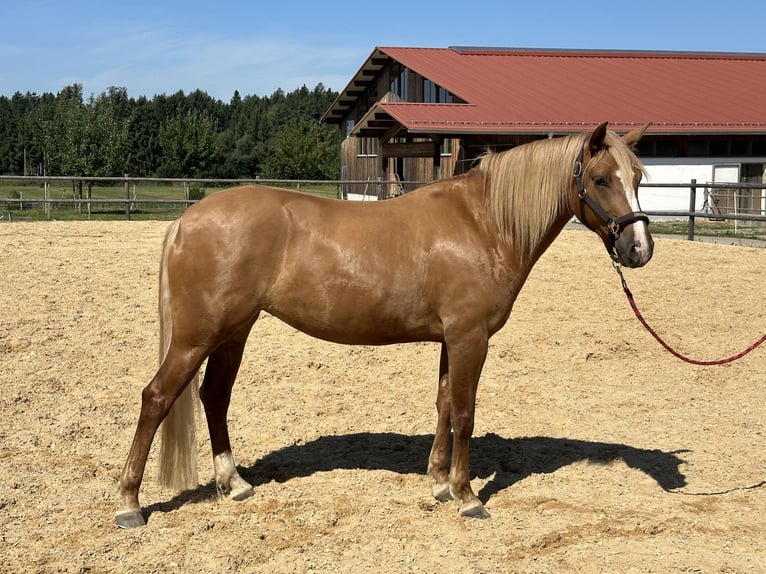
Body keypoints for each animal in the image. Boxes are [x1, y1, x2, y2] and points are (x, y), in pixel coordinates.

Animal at [115, 122, 653, 528]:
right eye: (601, 179)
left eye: (638, 177)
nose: (639, 250)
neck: (483, 223)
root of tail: (186, 220)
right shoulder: (470, 338)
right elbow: (465, 414)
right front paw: (468, 496)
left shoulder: (451, 339)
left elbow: (443, 405)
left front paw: (439, 483)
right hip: (197, 335)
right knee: (157, 398)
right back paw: (130, 504)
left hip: (234, 331)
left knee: (215, 396)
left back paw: (235, 483)